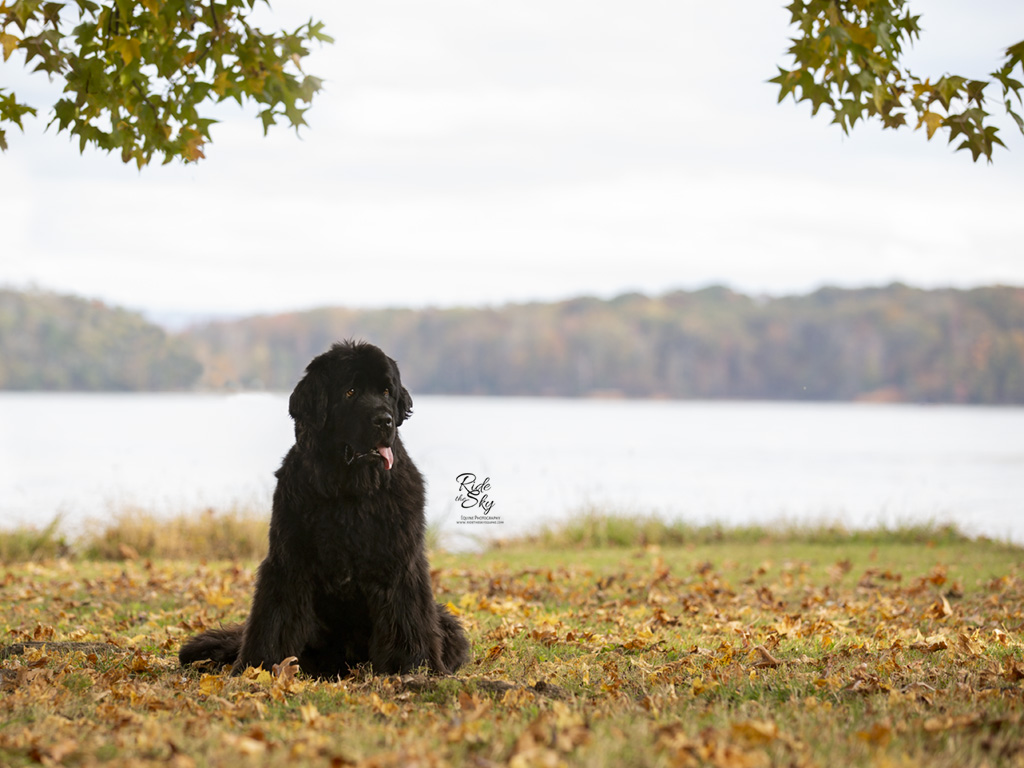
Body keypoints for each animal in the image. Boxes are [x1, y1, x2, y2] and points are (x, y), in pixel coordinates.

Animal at [182, 342, 468, 679]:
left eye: (386, 391)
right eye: (350, 392)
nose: (384, 420)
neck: (349, 491)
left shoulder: (399, 563)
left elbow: (407, 617)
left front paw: (414, 666)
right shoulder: (289, 560)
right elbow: (274, 619)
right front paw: (259, 666)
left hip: (447, 623)